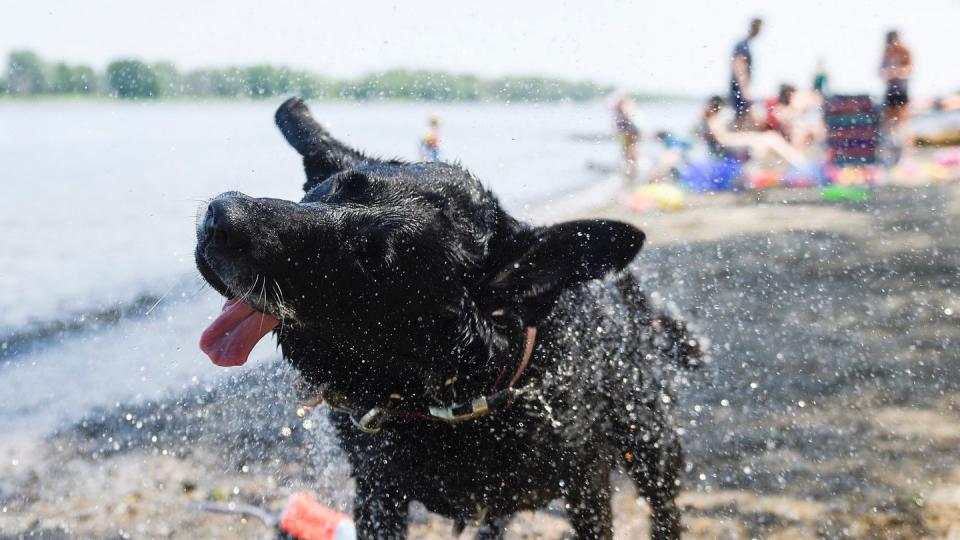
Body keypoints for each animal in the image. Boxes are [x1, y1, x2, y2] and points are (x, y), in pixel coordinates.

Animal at [195, 99, 700, 536]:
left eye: (374, 260)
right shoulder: (378, 494)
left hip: (653, 450)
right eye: (336, 187)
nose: (221, 216)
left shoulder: (587, 489)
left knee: (665, 509)